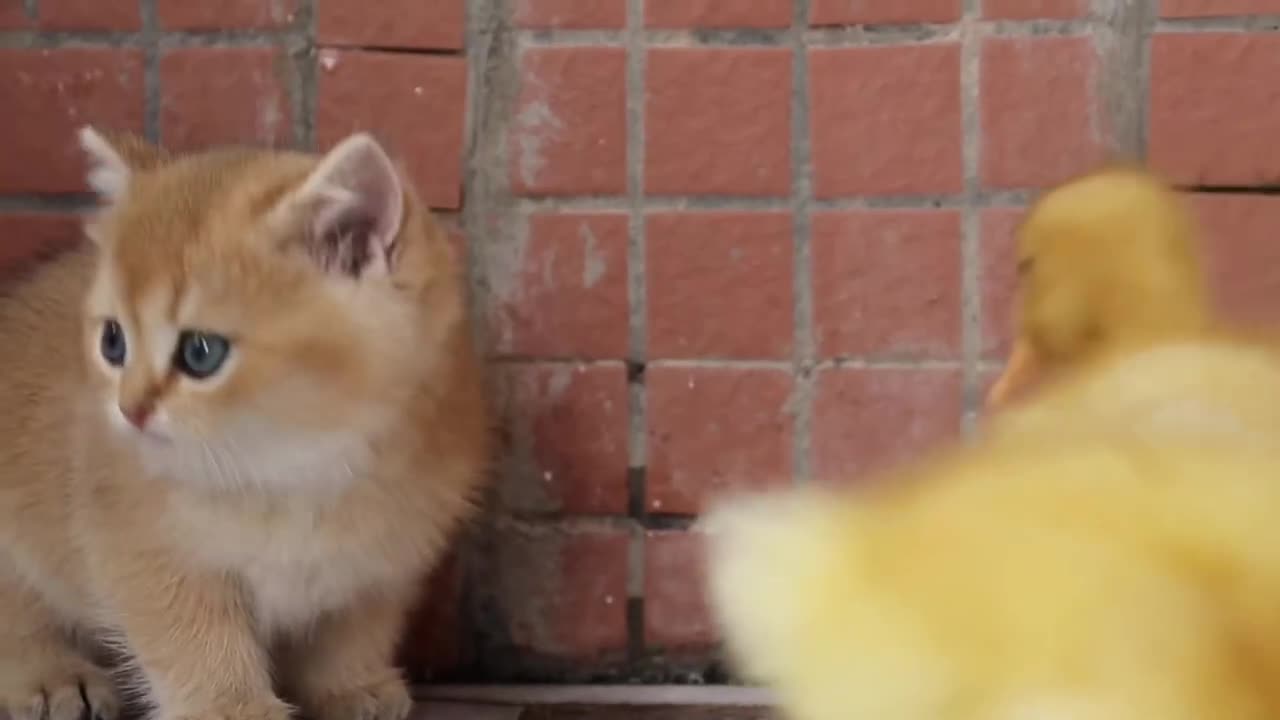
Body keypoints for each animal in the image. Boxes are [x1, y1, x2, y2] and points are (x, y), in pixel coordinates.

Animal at [0, 127, 488, 717]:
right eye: (113, 341)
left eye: (200, 352)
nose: (130, 409)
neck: (300, 469)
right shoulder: (146, 553)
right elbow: (194, 643)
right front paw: (234, 706)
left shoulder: (383, 564)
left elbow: (354, 628)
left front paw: (351, 685)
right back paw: (51, 677)